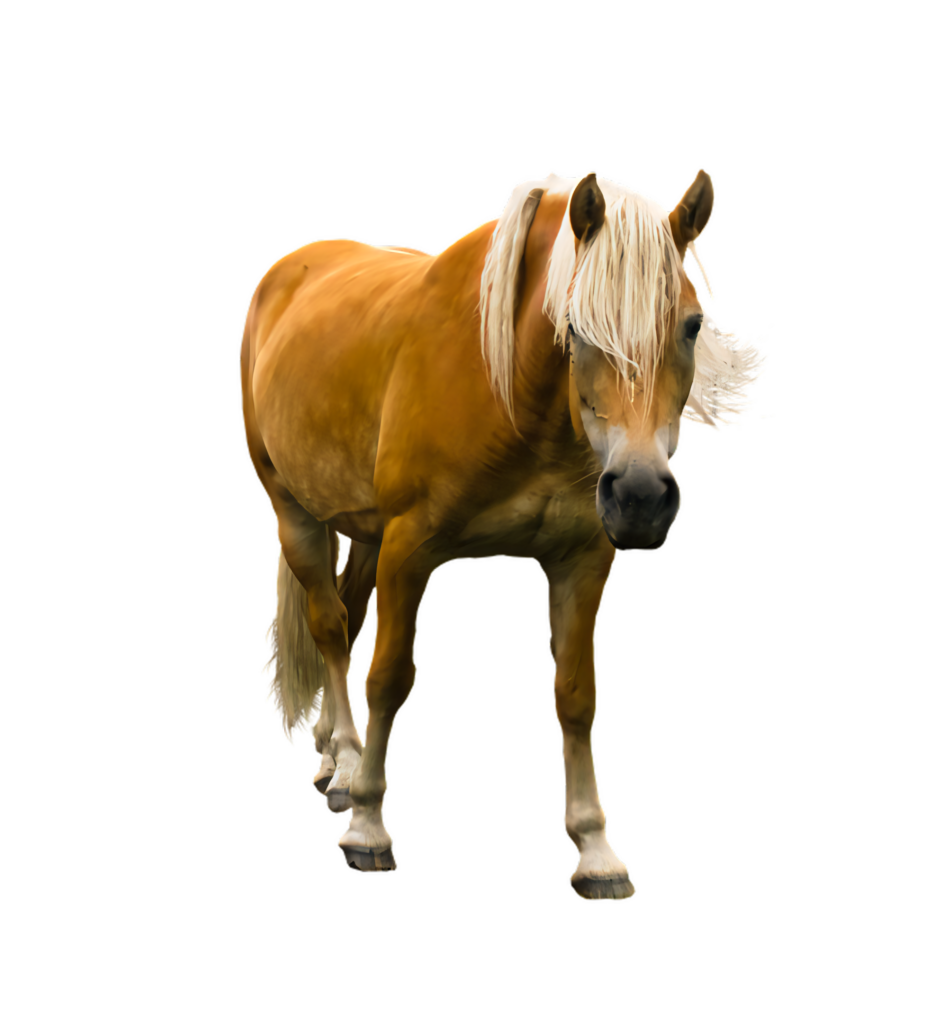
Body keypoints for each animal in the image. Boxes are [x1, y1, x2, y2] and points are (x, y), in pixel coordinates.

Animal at [238, 167, 768, 902]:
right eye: (574, 325)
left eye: (691, 325)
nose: (639, 496)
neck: (509, 391)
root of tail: (292, 268)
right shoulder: (409, 551)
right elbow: (389, 677)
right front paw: (369, 829)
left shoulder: (581, 560)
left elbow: (575, 697)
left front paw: (597, 853)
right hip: (297, 514)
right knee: (329, 629)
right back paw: (344, 767)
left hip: (361, 532)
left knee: (343, 618)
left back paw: (328, 755)